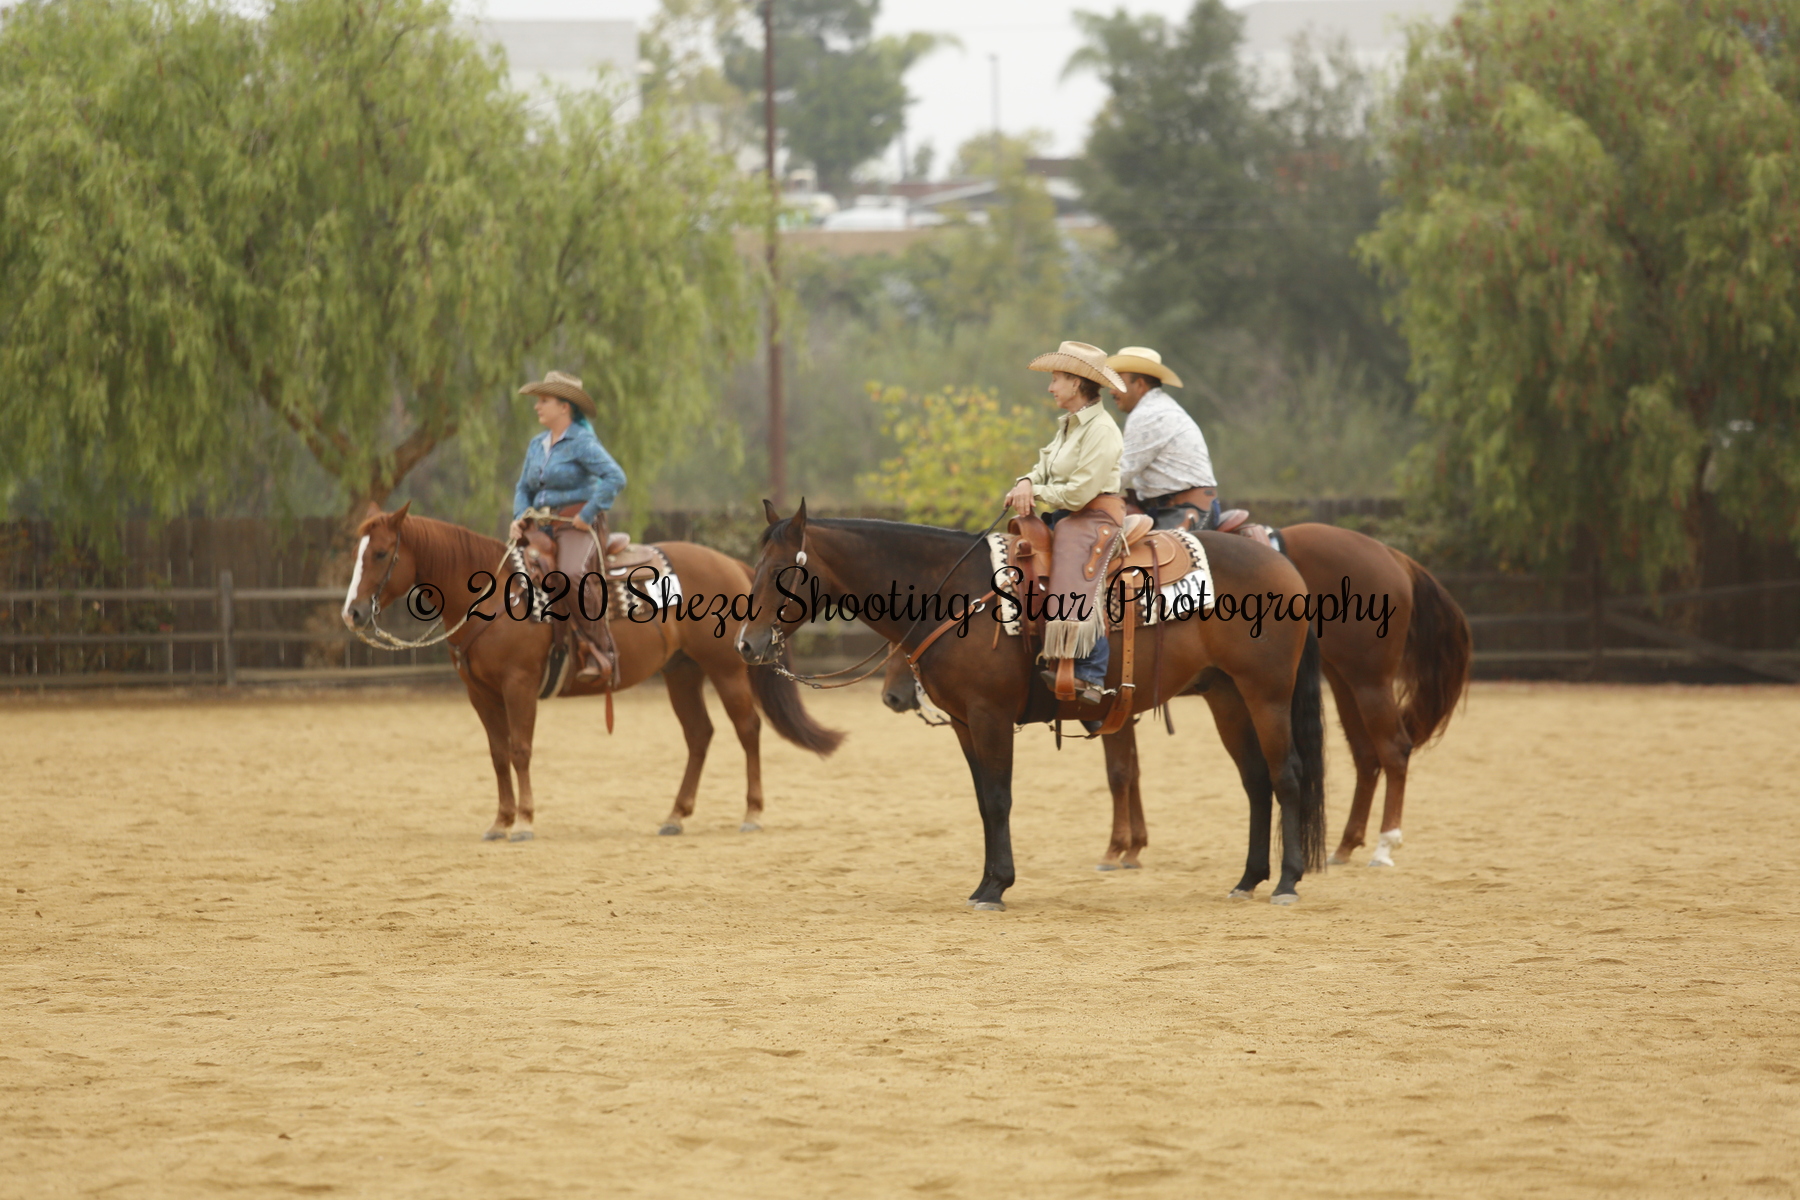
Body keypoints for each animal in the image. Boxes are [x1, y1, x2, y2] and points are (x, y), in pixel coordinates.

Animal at [341, 503, 843, 840]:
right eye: (357, 553)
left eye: (382, 553)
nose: (353, 613)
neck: (497, 595)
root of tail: (733, 566)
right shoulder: (478, 692)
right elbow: (498, 753)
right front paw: (500, 821)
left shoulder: (519, 685)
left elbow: (520, 749)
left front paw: (524, 822)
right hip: (681, 671)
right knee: (699, 734)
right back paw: (675, 815)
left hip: (726, 668)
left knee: (748, 728)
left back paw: (751, 813)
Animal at [738, 501, 1328, 909]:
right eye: (753, 567)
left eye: (780, 573)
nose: (747, 643)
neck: (954, 595)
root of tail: (1284, 566)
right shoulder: (964, 723)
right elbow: (983, 800)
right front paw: (985, 881)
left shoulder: (990, 716)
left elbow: (1000, 798)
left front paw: (996, 887)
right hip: (1226, 696)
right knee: (1256, 780)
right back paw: (1247, 879)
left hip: (1266, 694)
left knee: (1288, 775)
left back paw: (1286, 881)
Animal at [880, 522, 1470, 870]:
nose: (892, 696)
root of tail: (1391, 554)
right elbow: (1122, 771)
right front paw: (1128, 845)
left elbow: (1114, 773)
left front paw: (1119, 849)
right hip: (1324, 683)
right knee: (1361, 757)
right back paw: (1341, 846)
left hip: (1343, 682)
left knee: (1385, 751)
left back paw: (1380, 847)